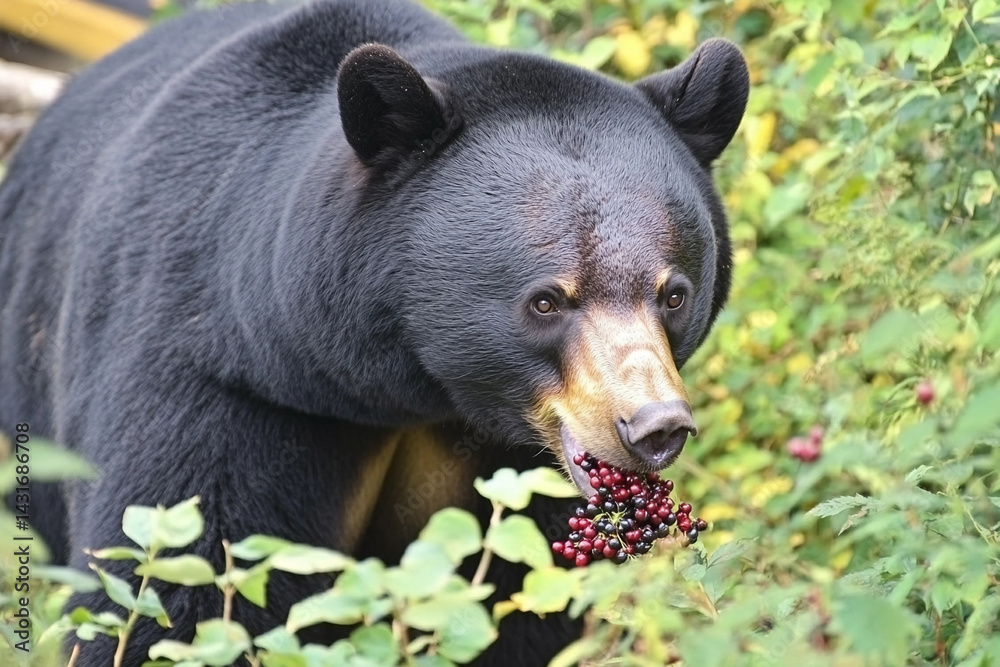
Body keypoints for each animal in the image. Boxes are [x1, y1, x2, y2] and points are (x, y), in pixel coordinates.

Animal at [0, 0, 748, 664]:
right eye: (546, 301)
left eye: (674, 293)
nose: (654, 426)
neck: (399, 387)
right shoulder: (216, 377)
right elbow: (180, 577)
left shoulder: (514, 472)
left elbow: (522, 608)